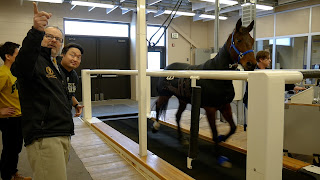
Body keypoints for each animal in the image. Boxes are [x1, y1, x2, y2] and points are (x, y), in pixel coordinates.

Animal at [151, 18, 256, 166]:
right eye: (239, 40)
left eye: (252, 40)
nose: (251, 64)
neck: (217, 76)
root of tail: (167, 67)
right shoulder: (210, 109)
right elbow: (214, 131)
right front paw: (218, 155)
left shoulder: (225, 106)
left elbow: (233, 128)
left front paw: (222, 139)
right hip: (165, 95)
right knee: (158, 106)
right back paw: (155, 126)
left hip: (183, 100)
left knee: (177, 116)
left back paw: (181, 138)